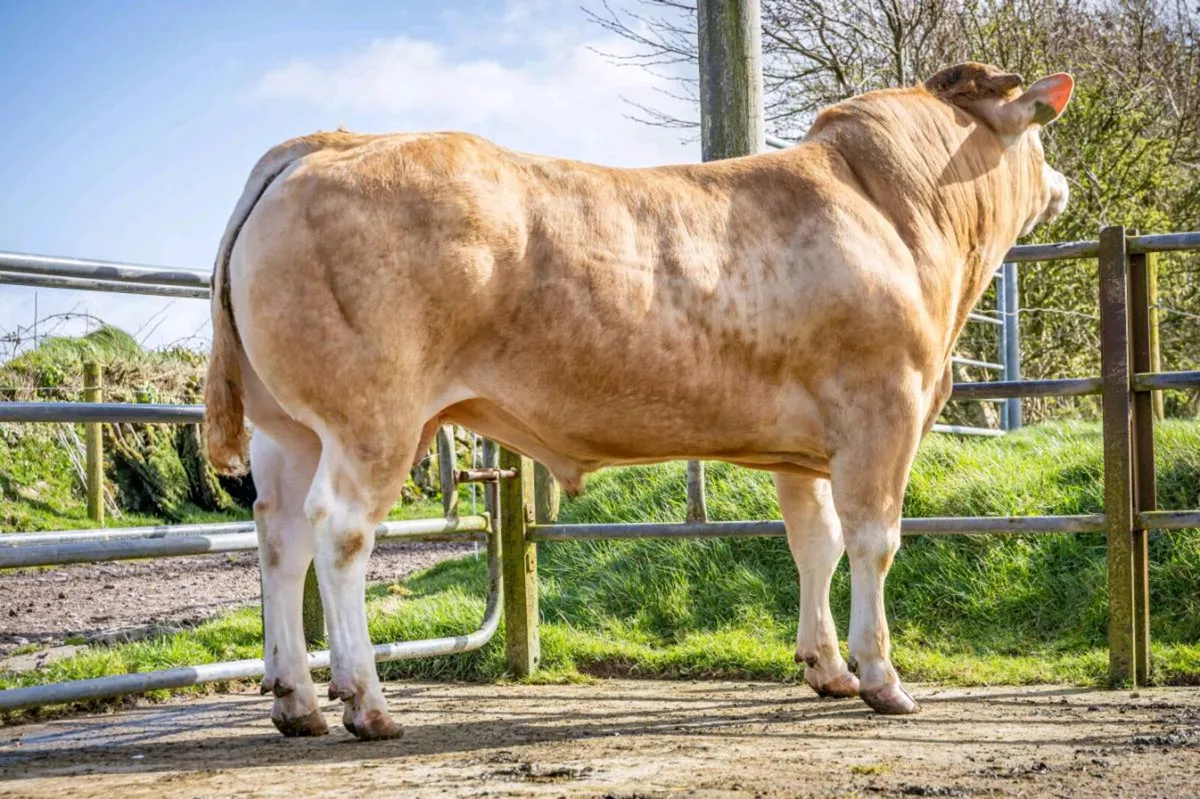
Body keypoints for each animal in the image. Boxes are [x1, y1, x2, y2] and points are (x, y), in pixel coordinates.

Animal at [204, 62, 1073, 740]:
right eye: (1040, 135)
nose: (1061, 182)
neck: (892, 211)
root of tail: (329, 140)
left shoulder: (806, 449)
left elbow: (814, 545)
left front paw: (824, 666)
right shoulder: (882, 410)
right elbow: (872, 541)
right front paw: (881, 675)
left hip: (290, 430)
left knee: (279, 536)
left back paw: (295, 701)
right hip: (373, 420)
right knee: (338, 533)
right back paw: (366, 702)